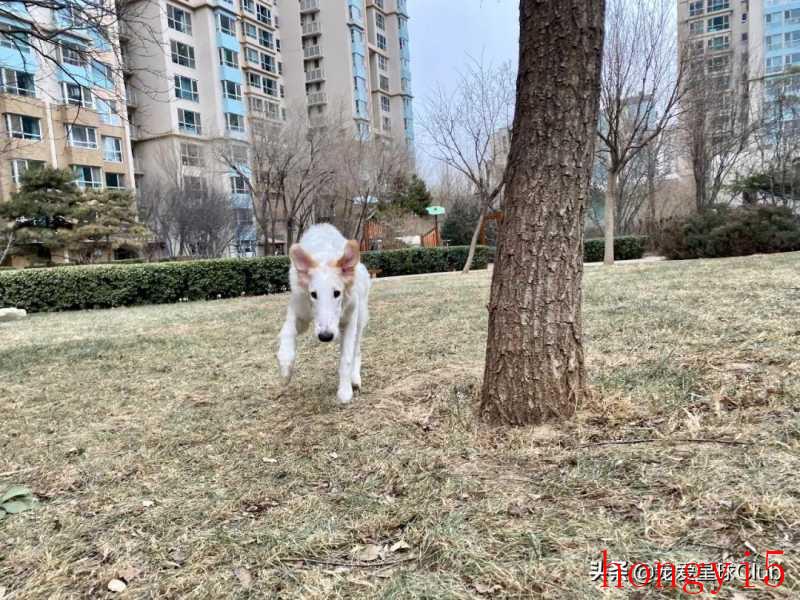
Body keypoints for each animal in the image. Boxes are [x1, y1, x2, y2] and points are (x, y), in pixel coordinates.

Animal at [278, 224, 372, 404]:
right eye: (313, 294)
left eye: (337, 293)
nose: (325, 336)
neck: (325, 257)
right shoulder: (300, 311)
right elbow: (287, 331)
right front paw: (285, 365)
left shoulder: (350, 319)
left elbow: (347, 357)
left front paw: (345, 391)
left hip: (360, 318)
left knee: (356, 350)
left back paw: (355, 379)